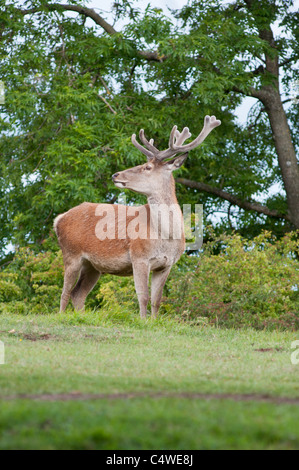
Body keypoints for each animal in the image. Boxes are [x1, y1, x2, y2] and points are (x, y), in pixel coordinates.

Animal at [54, 115, 221, 318]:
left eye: (147, 167)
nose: (115, 174)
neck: (166, 235)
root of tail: (59, 219)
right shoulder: (139, 256)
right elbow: (143, 297)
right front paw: (142, 321)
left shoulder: (167, 264)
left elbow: (157, 300)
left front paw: (154, 321)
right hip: (71, 253)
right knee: (65, 292)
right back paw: (61, 316)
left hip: (93, 265)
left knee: (78, 293)